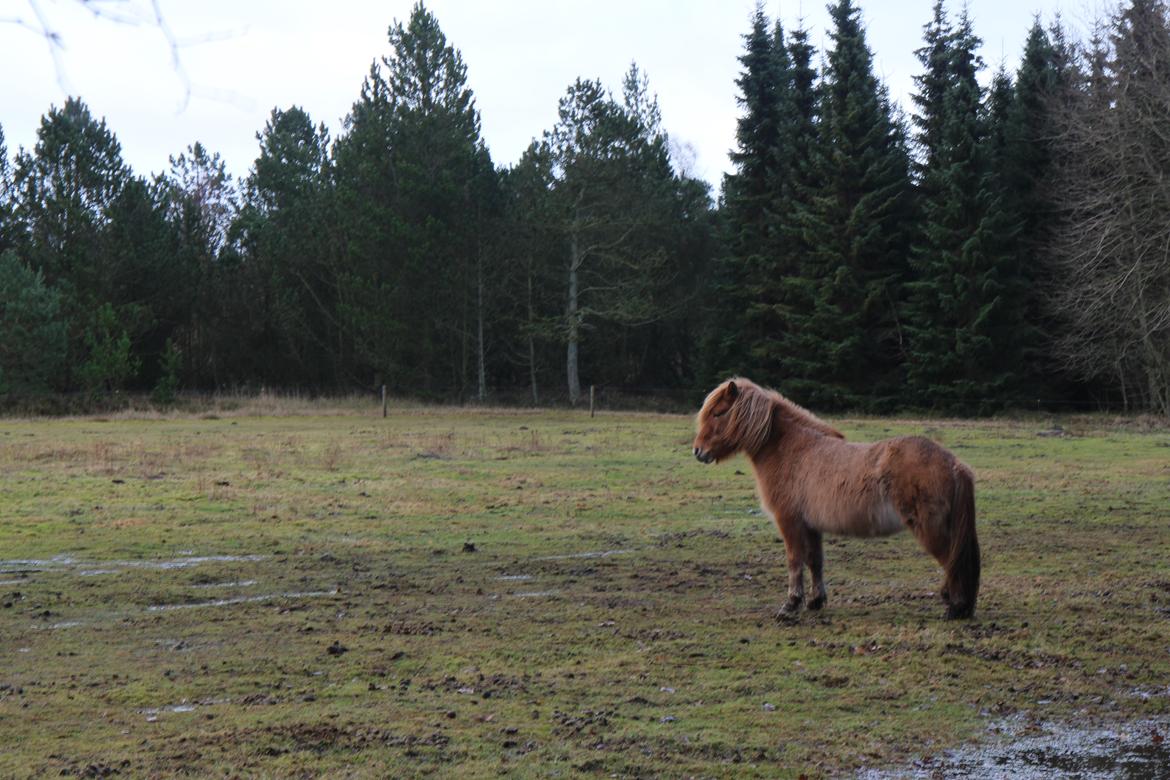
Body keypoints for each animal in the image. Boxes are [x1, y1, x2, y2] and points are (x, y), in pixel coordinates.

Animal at [687, 378, 982, 622]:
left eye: (718, 412)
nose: (698, 451)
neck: (792, 452)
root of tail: (955, 464)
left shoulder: (789, 522)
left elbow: (795, 560)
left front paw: (790, 605)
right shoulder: (811, 525)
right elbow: (815, 560)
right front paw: (816, 601)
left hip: (931, 530)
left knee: (953, 563)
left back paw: (955, 609)